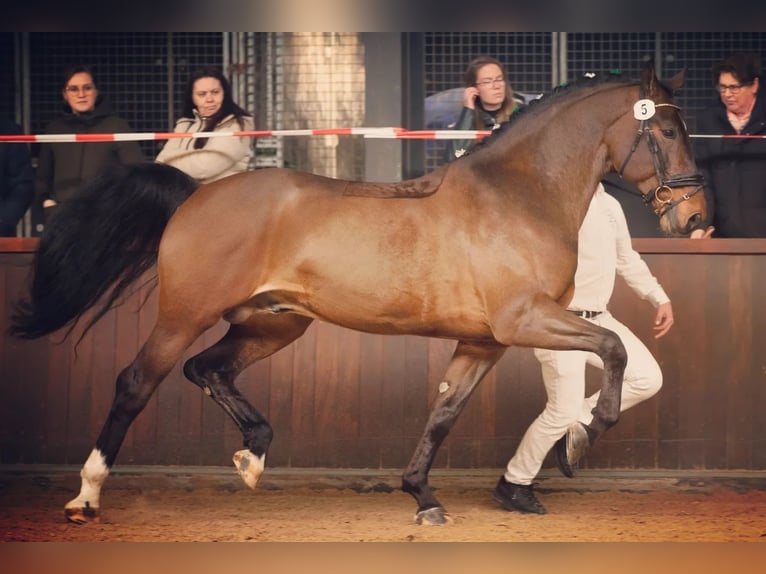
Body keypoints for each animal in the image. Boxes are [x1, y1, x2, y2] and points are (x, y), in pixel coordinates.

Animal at [12, 62, 708, 528]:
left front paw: (423, 498)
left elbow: (445, 412)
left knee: (206, 370)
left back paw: (253, 456)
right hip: (186, 315)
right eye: (671, 131)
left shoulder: (484, 341)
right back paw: (86, 496)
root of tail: (197, 193)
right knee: (138, 382)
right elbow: (613, 346)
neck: (516, 196)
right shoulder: (526, 320)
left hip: (274, 323)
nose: (695, 218)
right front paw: (580, 441)